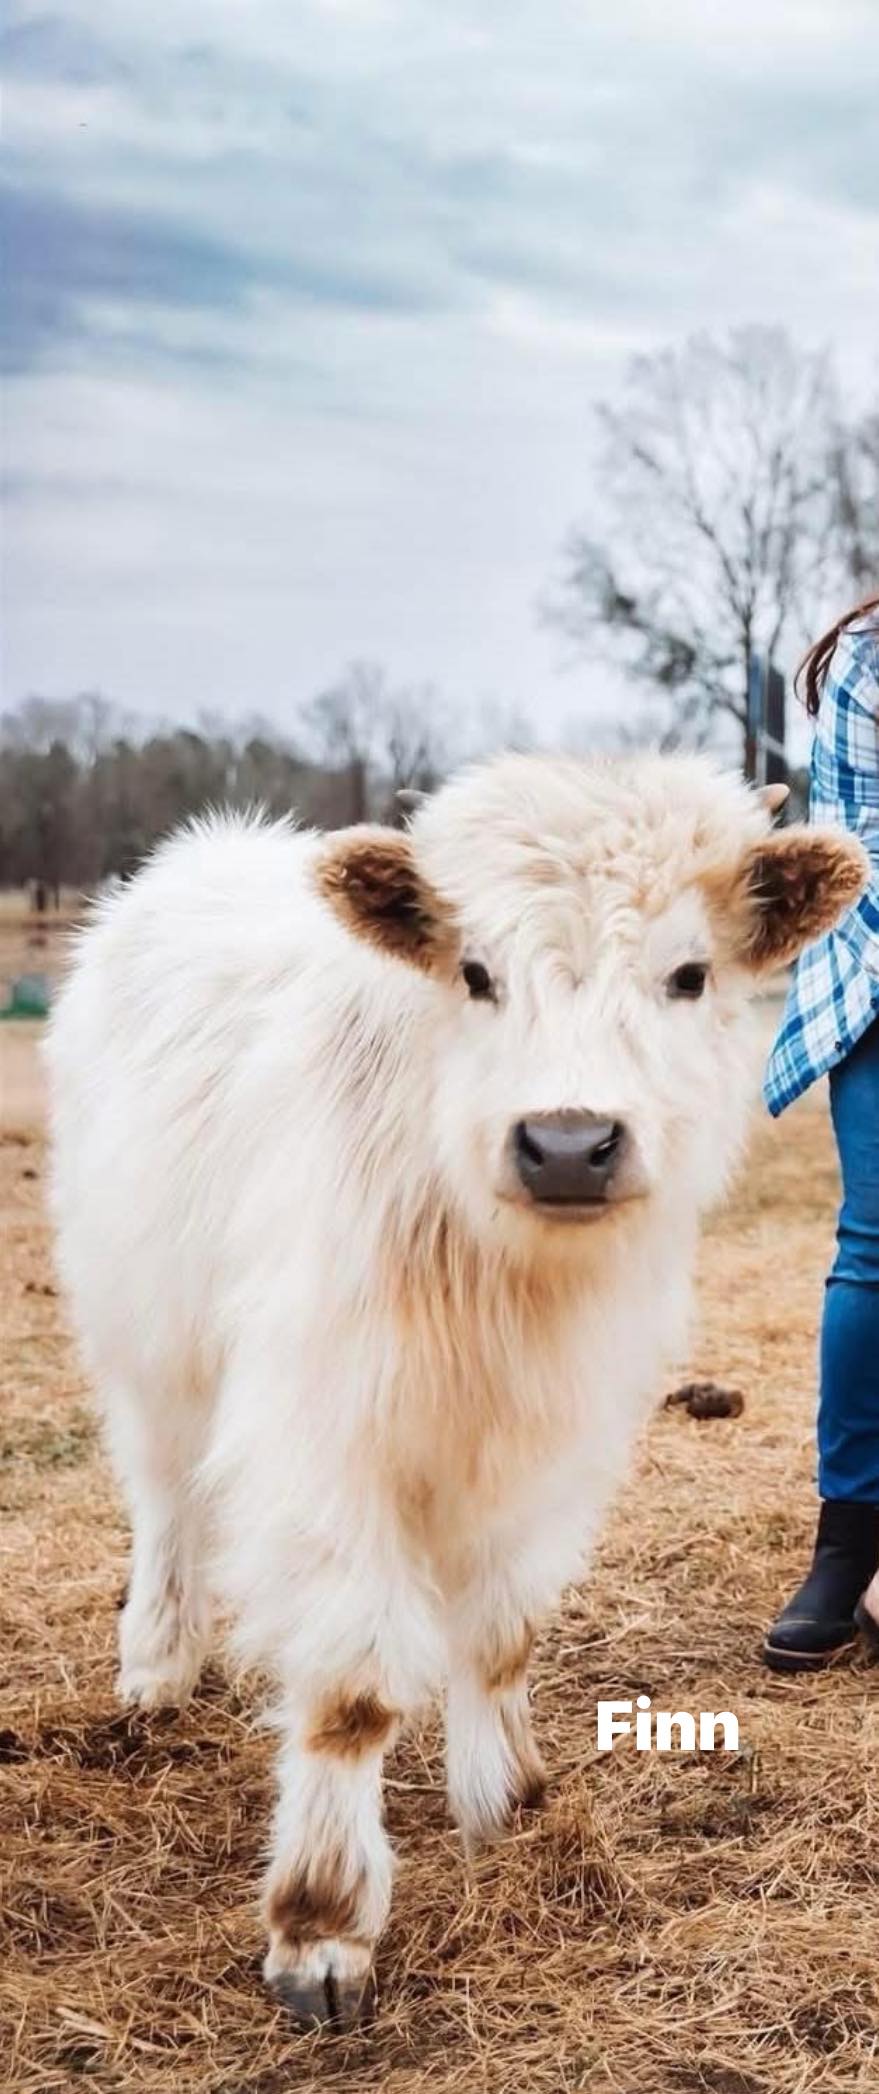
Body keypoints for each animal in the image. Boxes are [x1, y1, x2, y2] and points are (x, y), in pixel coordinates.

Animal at [46, 751, 864, 2030]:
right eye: (475, 973)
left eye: (688, 974)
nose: (569, 1143)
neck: (497, 1282)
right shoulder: (326, 1439)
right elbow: (352, 1691)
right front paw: (322, 1924)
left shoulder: (554, 1441)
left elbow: (502, 1632)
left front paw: (510, 1804)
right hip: (146, 1338)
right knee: (169, 1499)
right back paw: (159, 1666)